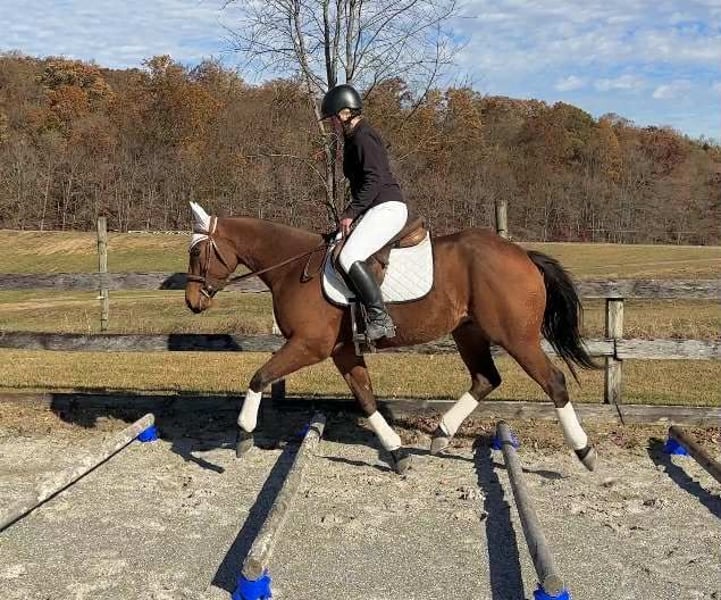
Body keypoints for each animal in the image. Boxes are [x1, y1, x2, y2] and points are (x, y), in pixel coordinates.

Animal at [184, 202, 600, 474]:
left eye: (198, 251)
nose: (192, 302)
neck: (292, 267)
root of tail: (524, 256)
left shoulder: (309, 346)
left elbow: (259, 377)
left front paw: (243, 435)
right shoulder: (342, 351)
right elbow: (366, 398)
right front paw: (398, 453)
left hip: (516, 337)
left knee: (554, 382)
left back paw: (584, 451)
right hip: (468, 331)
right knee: (486, 378)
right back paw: (441, 435)